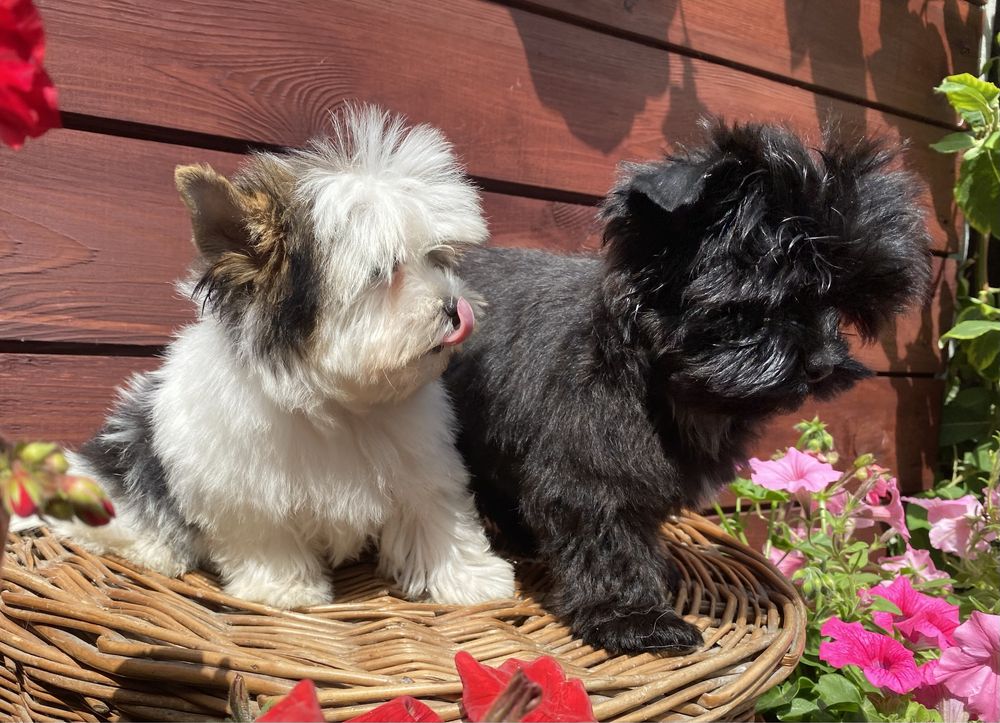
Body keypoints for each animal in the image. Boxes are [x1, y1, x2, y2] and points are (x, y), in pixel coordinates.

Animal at [60, 104, 516, 608]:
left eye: (437, 258)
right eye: (382, 272)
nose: (455, 308)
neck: (339, 404)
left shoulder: (423, 467)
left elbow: (435, 516)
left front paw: (471, 577)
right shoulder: (243, 494)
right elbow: (267, 536)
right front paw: (287, 589)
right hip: (118, 469)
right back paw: (156, 552)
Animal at [446, 123, 928, 656]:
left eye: (836, 303)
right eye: (757, 303)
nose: (822, 363)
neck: (660, 383)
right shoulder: (592, 475)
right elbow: (608, 538)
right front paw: (633, 618)